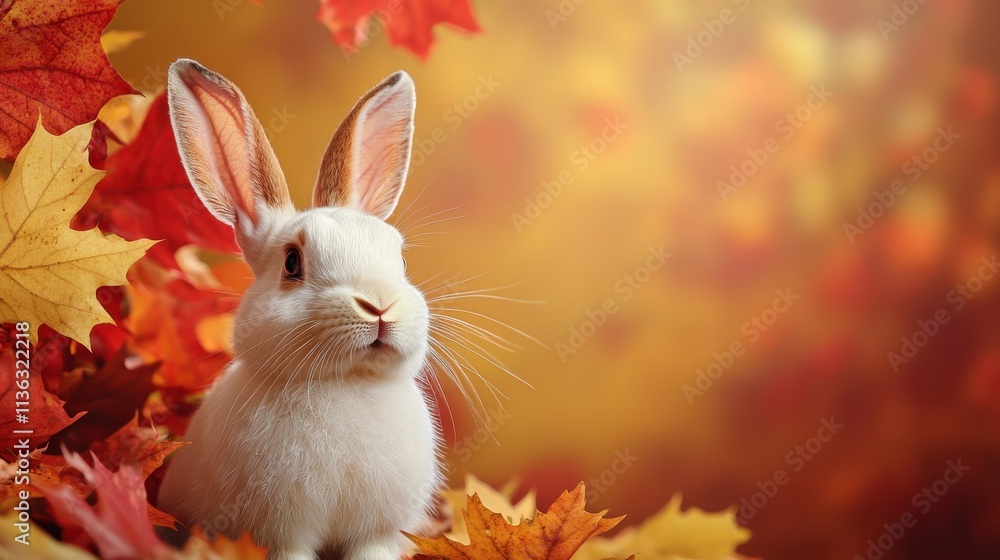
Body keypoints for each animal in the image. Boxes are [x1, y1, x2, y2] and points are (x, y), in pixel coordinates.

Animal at [157, 59, 441, 560]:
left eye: (401, 260)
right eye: (292, 263)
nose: (379, 306)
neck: (346, 382)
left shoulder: (377, 534)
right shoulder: (282, 534)